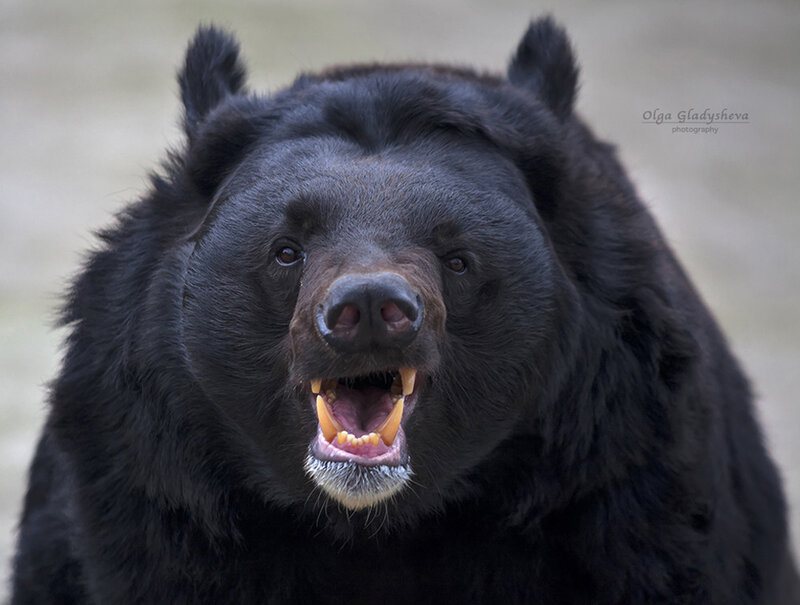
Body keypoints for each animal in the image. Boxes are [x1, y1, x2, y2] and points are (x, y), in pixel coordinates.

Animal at [11, 17, 799, 604]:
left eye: (458, 257)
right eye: (286, 250)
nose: (367, 308)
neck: (377, 527)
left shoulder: (629, 481)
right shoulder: (148, 496)